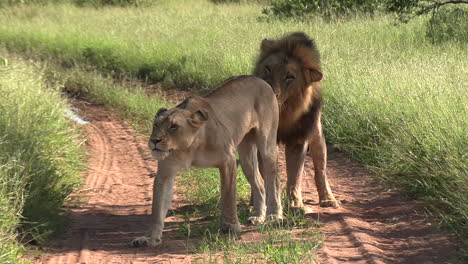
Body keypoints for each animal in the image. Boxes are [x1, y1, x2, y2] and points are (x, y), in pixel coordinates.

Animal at [133, 75, 284, 248]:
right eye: (155, 125)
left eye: (173, 127)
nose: (154, 141)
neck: (189, 147)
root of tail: (259, 79)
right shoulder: (166, 171)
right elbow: (157, 208)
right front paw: (149, 238)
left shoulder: (228, 160)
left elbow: (228, 196)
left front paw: (230, 226)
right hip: (246, 156)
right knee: (259, 182)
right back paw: (258, 216)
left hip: (266, 144)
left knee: (274, 179)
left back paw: (274, 215)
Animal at [252, 31, 340, 208]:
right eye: (268, 68)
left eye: (290, 77)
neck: (283, 114)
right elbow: (267, 175)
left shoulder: (298, 140)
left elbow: (295, 175)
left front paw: (294, 204)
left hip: (317, 134)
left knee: (321, 170)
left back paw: (328, 199)